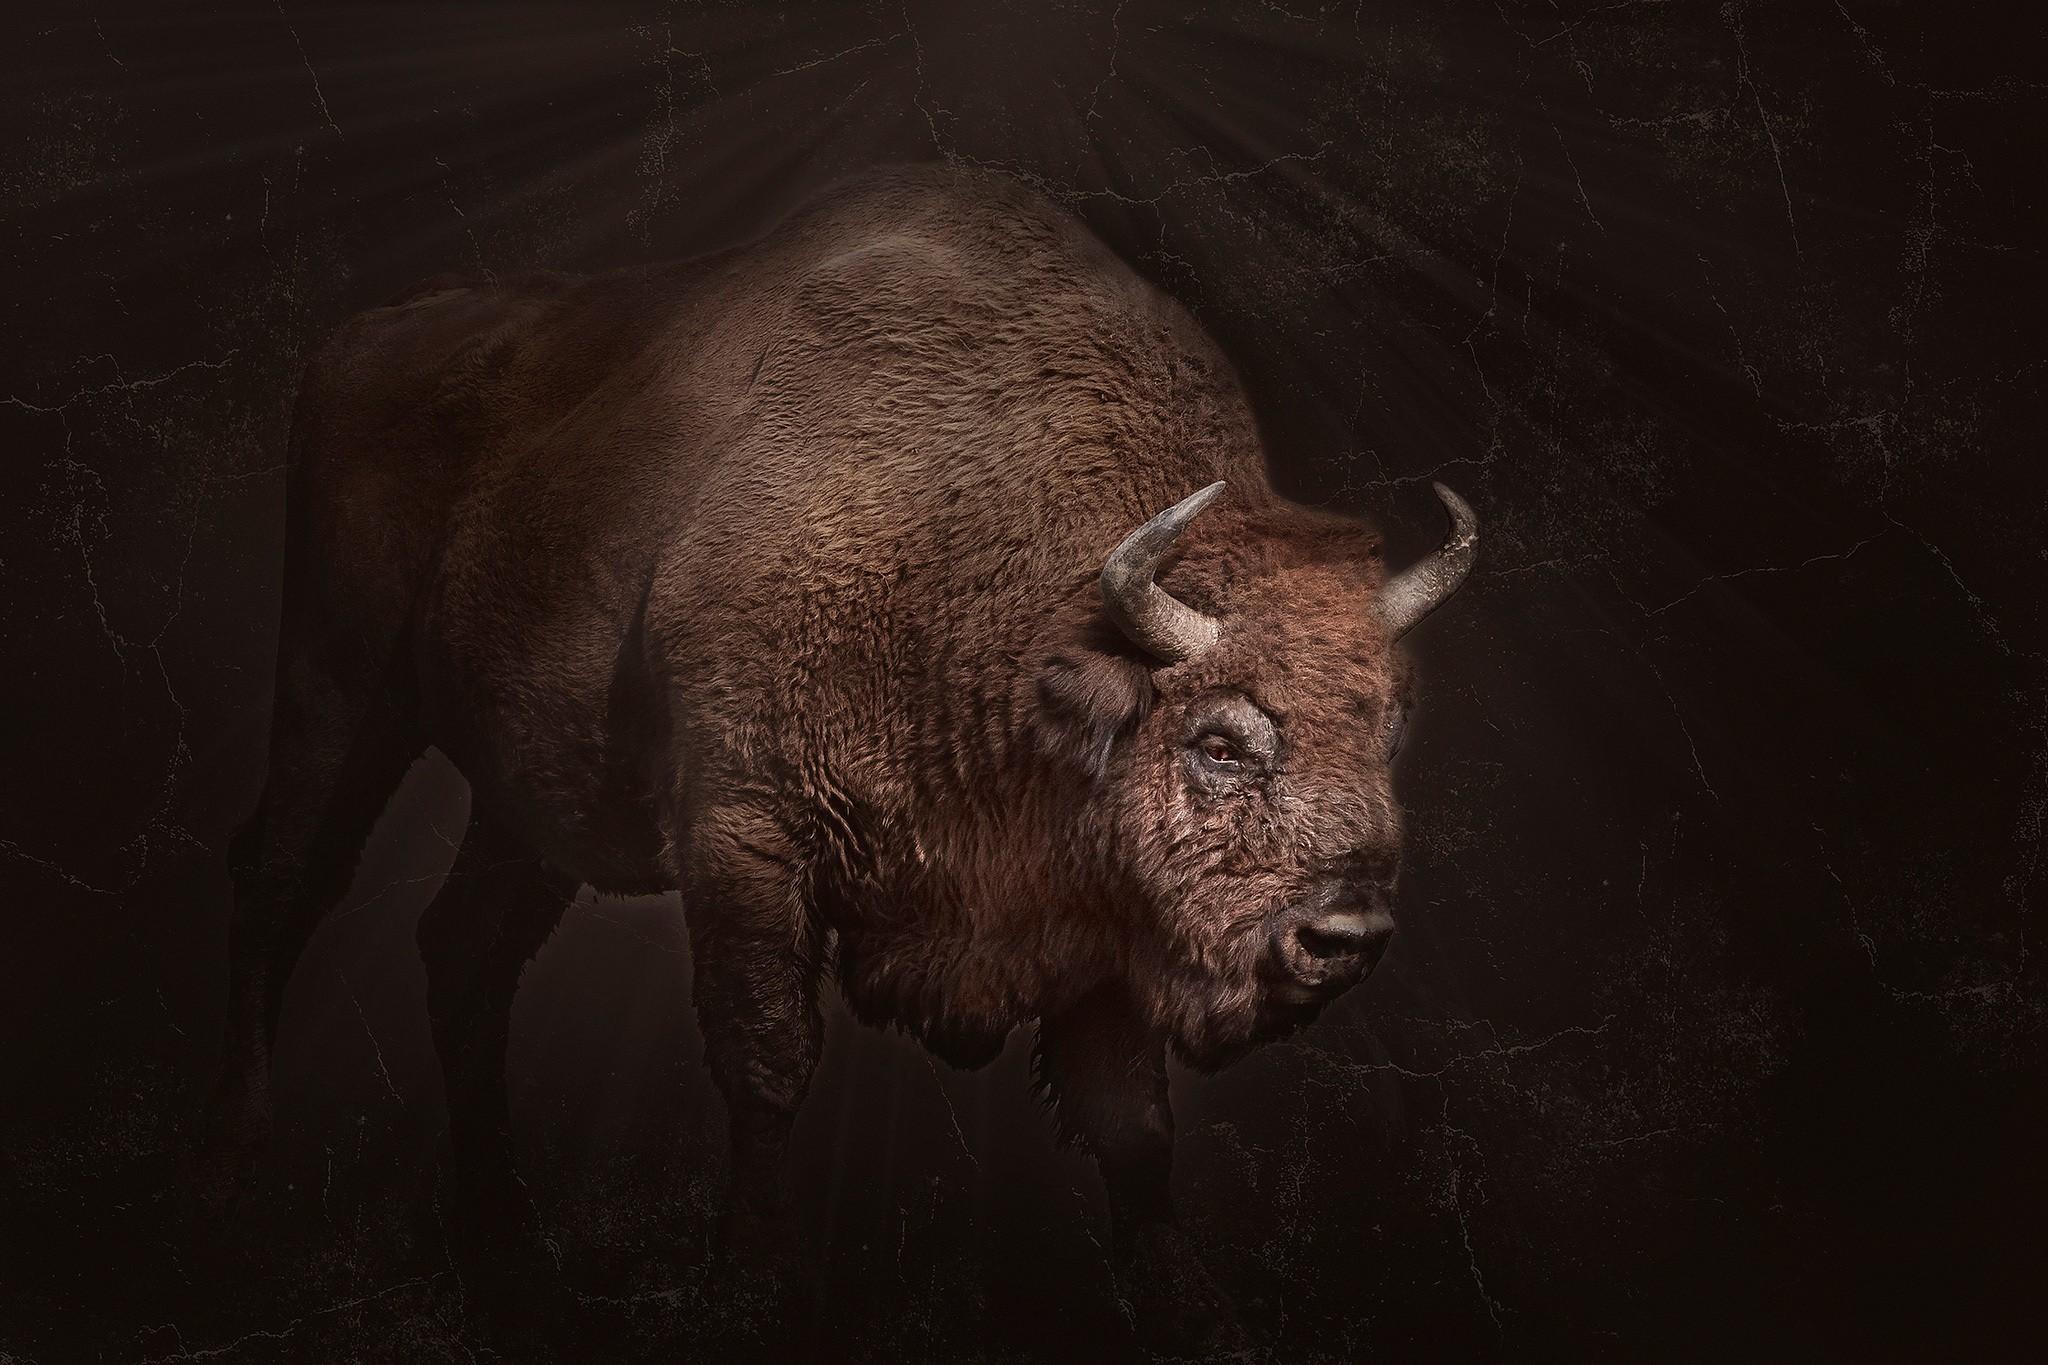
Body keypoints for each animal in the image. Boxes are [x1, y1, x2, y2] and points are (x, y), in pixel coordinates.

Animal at [202, 164, 1476, 1347]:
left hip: (526, 804)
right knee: (279, 879)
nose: (1346, 935)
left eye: (1388, 729)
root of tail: (360, 340)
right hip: (340, 693)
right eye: (1219, 739)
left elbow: (1131, 1124)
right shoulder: (746, 837)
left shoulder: (1097, 924)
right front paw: (752, 1289)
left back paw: (505, 1247)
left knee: (463, 947)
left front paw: (1194, 1310)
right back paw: (251, 1163)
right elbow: (768, 1058)